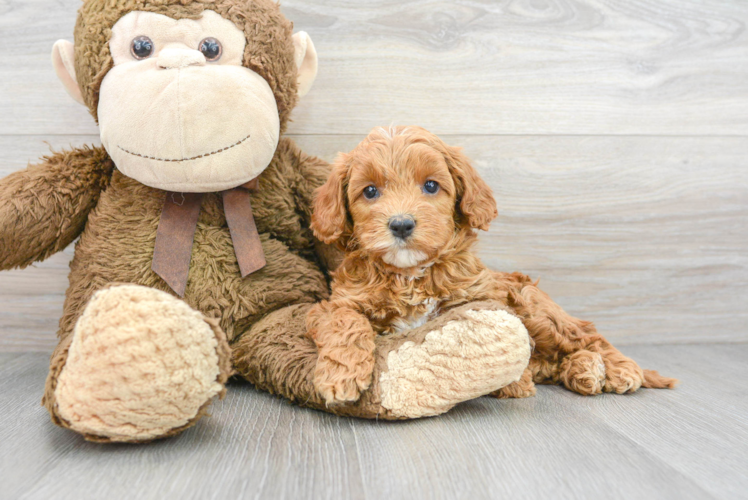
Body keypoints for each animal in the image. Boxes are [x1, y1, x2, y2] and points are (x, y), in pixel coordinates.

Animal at [306, 125, 676, 406]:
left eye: (431, 185)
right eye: (369, 191)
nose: (401, 225)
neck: (411, 275)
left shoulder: (480, 297)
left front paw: (513, 381)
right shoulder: (336, 303)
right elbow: (345, 321)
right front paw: (341, 375)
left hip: (536, 307)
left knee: (587, 334)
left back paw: (619, 369)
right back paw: (583, 371)